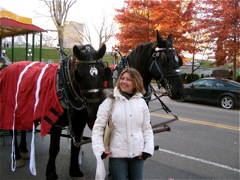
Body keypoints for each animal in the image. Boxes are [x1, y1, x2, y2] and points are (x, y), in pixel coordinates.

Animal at [0, 44, 110, 179]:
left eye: (102, 72)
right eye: (79, 74)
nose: (94, 112)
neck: (65, 86)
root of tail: (7, 67)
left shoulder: (79, 123)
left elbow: (76, 146)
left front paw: (75, 170)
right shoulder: (55, 122)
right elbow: (54, 148)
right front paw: (51, 172)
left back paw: (24, 150)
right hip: (11, 110)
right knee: (13, 130)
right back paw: (17, 157)